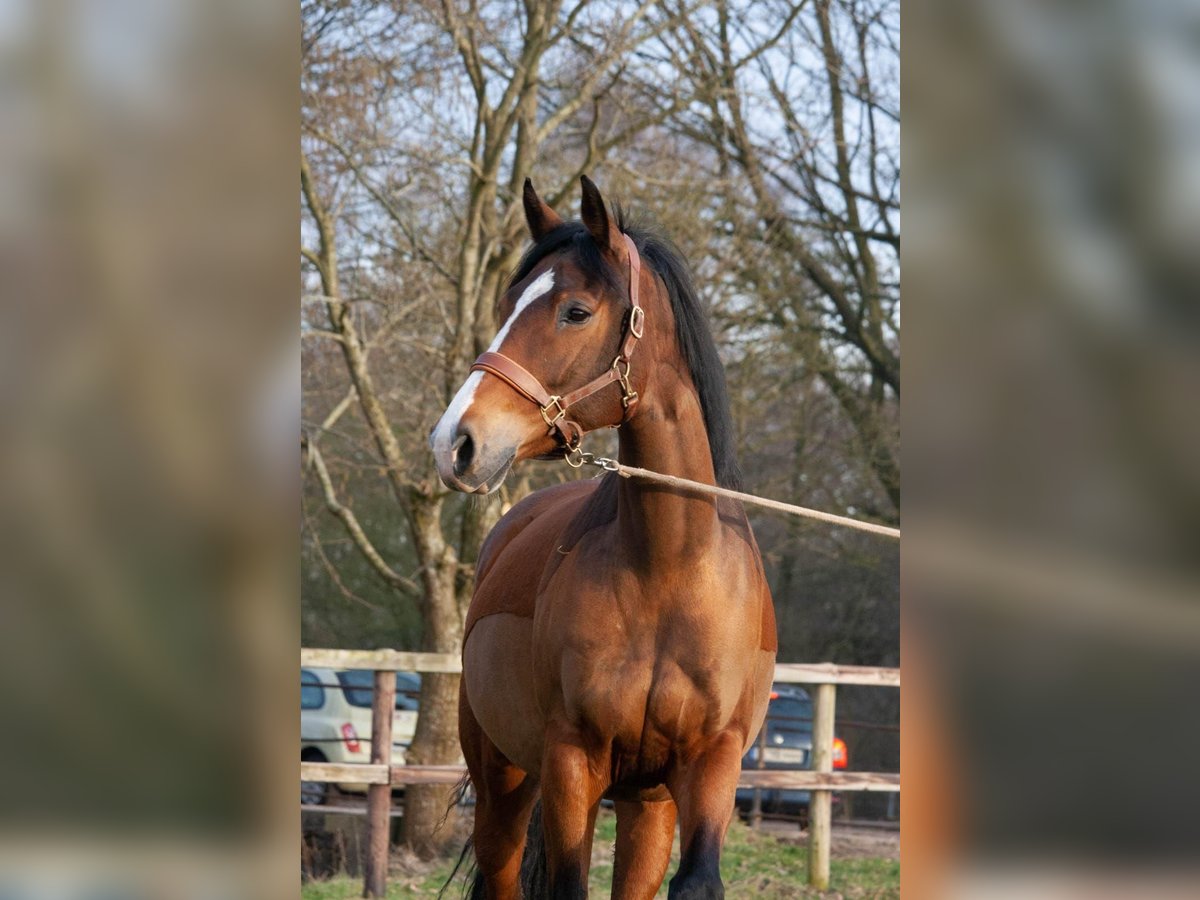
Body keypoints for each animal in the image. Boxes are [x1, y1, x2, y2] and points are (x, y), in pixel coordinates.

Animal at [432, 176, 777, 900]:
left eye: (576, 311)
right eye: (506, 306)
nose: (455, 443)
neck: (670, 569)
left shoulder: (706, 767)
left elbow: (693, 881)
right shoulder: (572, 761)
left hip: (644, 804)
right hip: (503, 784)